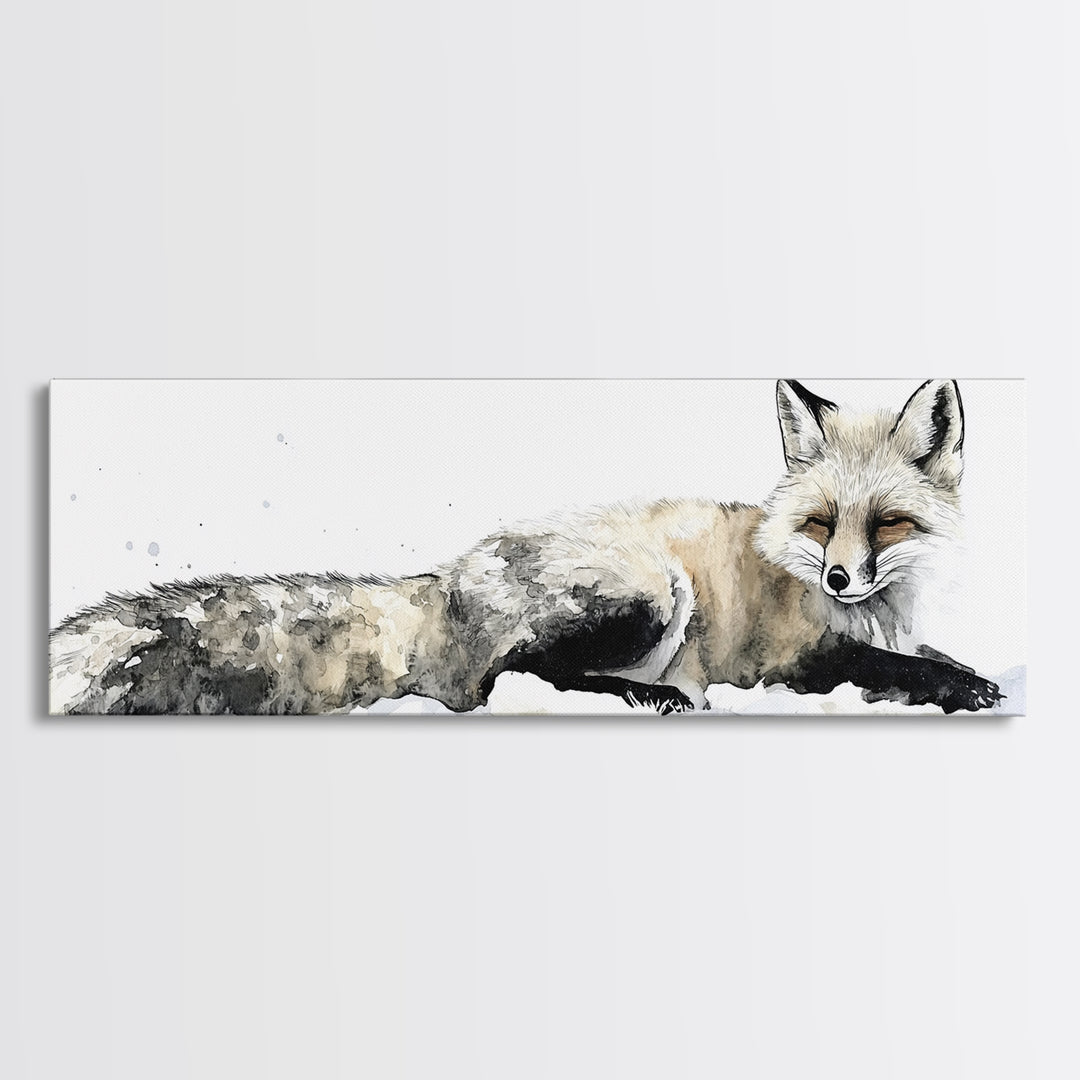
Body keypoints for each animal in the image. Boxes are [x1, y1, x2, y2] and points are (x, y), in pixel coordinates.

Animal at [49, 379, 1003, 715]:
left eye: (887, 523)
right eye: (820, 522)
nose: (841, 576)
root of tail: (448, 578)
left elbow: (928, 657)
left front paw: (968, 676)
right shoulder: (791, 660)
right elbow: (893, 668)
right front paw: (964, 692)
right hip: (656, 594)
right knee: (507, 676)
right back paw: (649, 694)